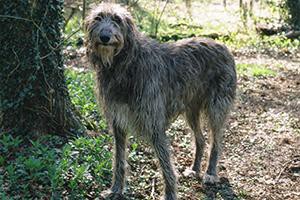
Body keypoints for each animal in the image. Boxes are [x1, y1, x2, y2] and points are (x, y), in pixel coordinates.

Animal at [84, 3, 237, 200]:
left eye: (117, 20)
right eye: (98, 18)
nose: (104, 37)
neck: (124, 65)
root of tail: (223, 46)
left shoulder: (154, 123)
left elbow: (166, 165)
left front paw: (170, 194)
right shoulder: (118, 122)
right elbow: (119, 159)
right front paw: (116, 189)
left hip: (216, 107)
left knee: (216, 141)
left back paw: (210, 173)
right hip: (191, 109)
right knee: (201, 139)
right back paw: (194, 169)